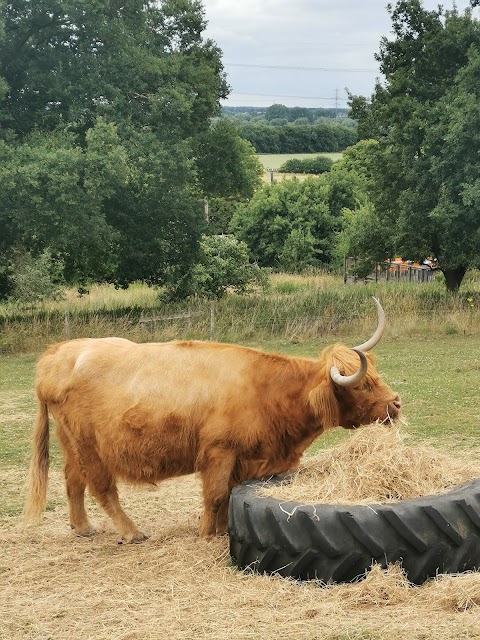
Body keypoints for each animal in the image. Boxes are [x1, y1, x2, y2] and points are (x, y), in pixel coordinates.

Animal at [23, 298, 398, 544]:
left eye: (376, 376)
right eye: (362, 384)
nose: (395, 403)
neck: (266, 391)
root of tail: (57, 354)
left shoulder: (242, 458)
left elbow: (229, 496)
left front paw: (219, 530)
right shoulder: (220, 452)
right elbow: (216, 496)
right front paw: (206, 535)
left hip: (71, 443)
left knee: (73, 480)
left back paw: (82, 527)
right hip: (91, 447)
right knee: (101, 488)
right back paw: (132, 532)